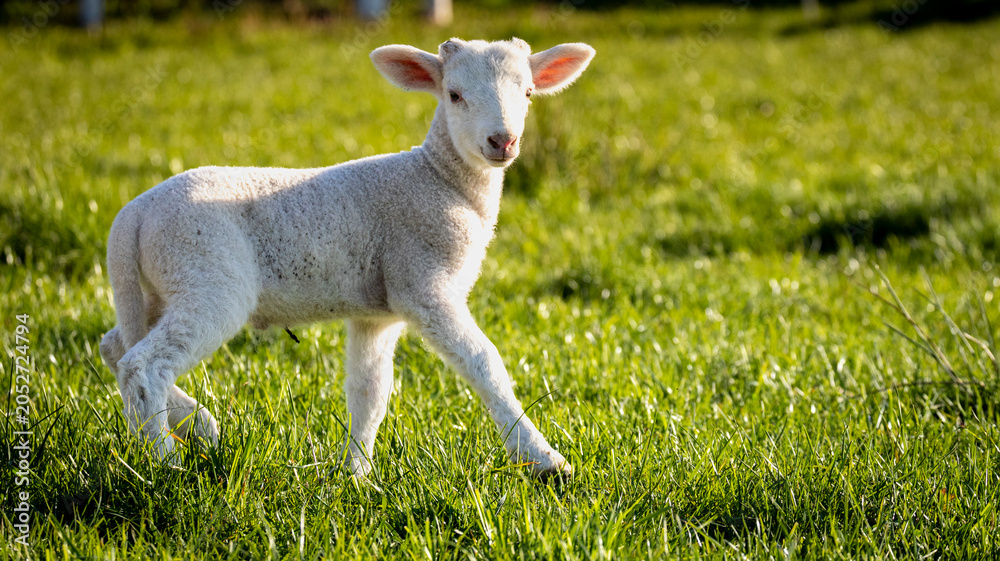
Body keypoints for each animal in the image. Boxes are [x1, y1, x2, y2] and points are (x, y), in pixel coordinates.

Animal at [99, 37, 595, 479]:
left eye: (528, 93)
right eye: (454, 95)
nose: (502, 141)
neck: (440, 179)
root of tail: (132, 214)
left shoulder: (378, 312)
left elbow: (369, 392)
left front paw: (356, 473)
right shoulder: (423, 284)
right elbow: (484, 363)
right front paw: (545, 460)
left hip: (161, 285)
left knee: (115, 347)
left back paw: (197, 424)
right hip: (207, 276)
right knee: (143, 365)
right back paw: (164, 462)